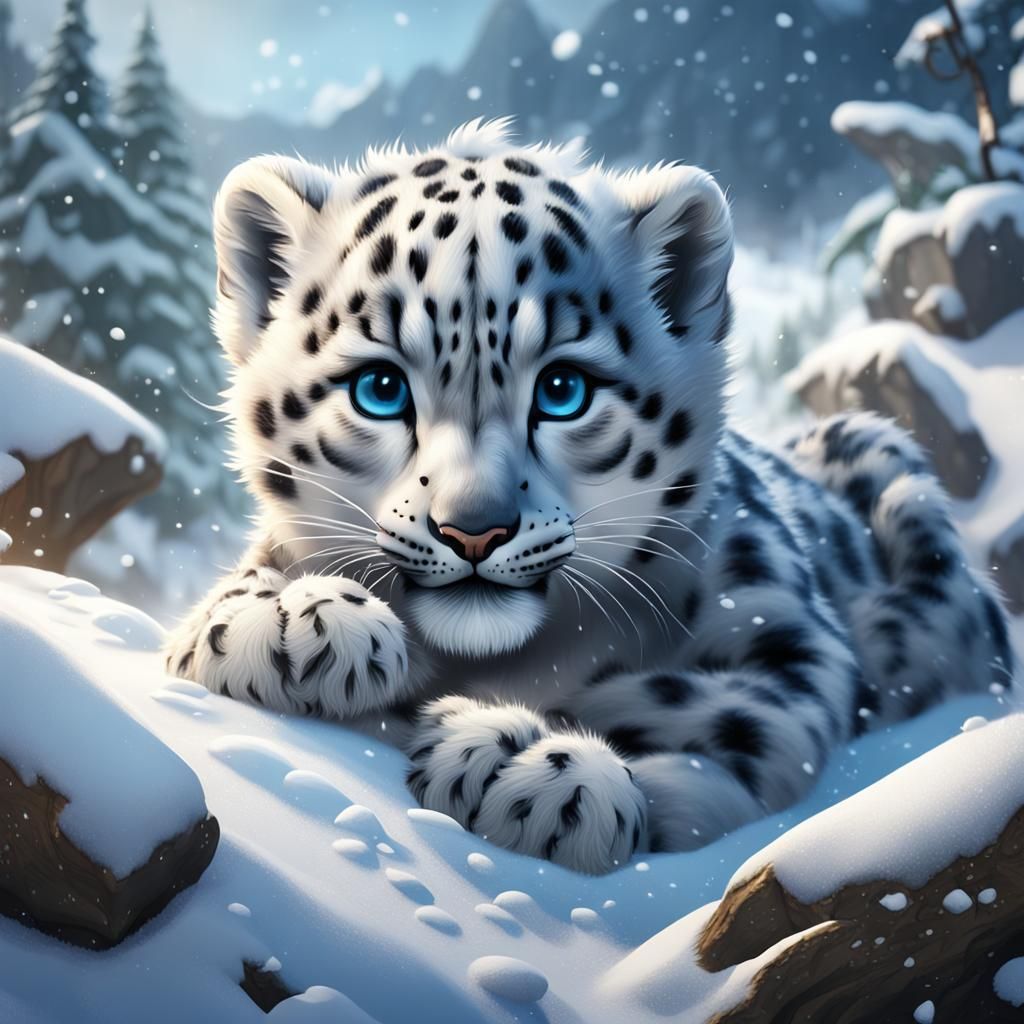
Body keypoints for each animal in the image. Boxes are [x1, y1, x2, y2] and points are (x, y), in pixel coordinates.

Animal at [165, 119, 1014, 874]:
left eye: (563, 389)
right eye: (379, 388)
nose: (474, 531)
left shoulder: (790, 636)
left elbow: (737, 716)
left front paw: (529, 765)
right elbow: (224, 602)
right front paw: (296, 624)